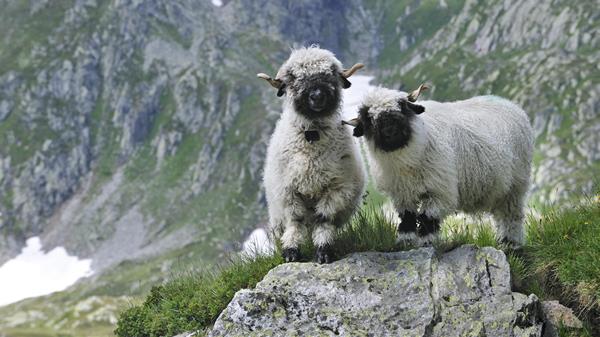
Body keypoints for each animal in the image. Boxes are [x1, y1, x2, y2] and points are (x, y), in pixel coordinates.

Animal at [258, 46, 366, 262]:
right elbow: (295, 220)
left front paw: (323, 250)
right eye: (293, 78)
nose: (317, 95)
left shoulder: (336, 188)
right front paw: (291, 251)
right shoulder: (288, 191)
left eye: (331, 74)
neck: (312, 136)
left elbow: (323, 219)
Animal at [346, 85, 536, 245]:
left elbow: (427, 217)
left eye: (403, 107)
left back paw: (511, 243)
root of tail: (509, 103)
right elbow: (407, 217)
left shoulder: (440, 189)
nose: (390, 131)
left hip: (516, 184)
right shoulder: (401, 193)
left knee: (511, 215)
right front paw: (405, 241)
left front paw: (427, 242)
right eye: (369, 118)